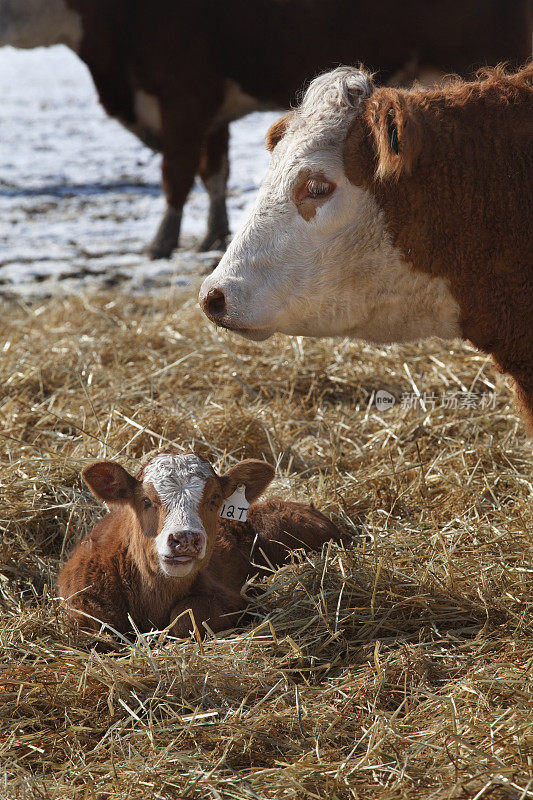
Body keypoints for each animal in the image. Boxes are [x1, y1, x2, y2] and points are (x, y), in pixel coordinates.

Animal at [1, 0, 532, 256]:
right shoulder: (208, 112)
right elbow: (213, 173)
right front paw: (213, 235)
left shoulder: (183, 98)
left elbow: (176, 175)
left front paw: (160, 243)